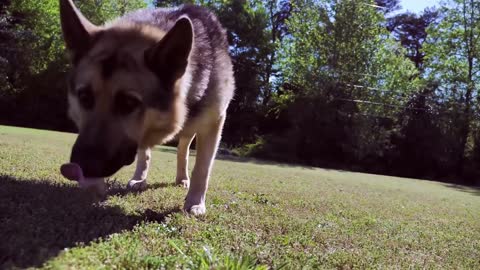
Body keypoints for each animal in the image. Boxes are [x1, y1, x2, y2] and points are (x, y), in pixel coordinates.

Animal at [59, 0, 235, 215]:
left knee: (183, 149)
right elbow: (145, 152)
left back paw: (182, 178)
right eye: (85, 97)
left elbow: (202, 167)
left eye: (128, 103)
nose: (83, 166)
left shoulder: (214, 122)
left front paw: (195, 202)